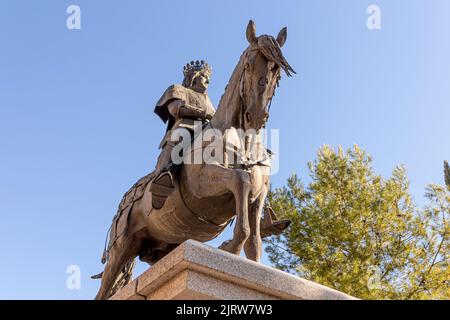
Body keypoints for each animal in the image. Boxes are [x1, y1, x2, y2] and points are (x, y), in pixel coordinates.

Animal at [93, 20, 296, 300]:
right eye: (247, 64)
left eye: (277, 73)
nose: (255, 116)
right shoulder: (205, 182)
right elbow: (240, 180)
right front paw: (230, 246)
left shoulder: (259, 195)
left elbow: (255, 244)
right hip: (121, 247)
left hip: (162, 245)